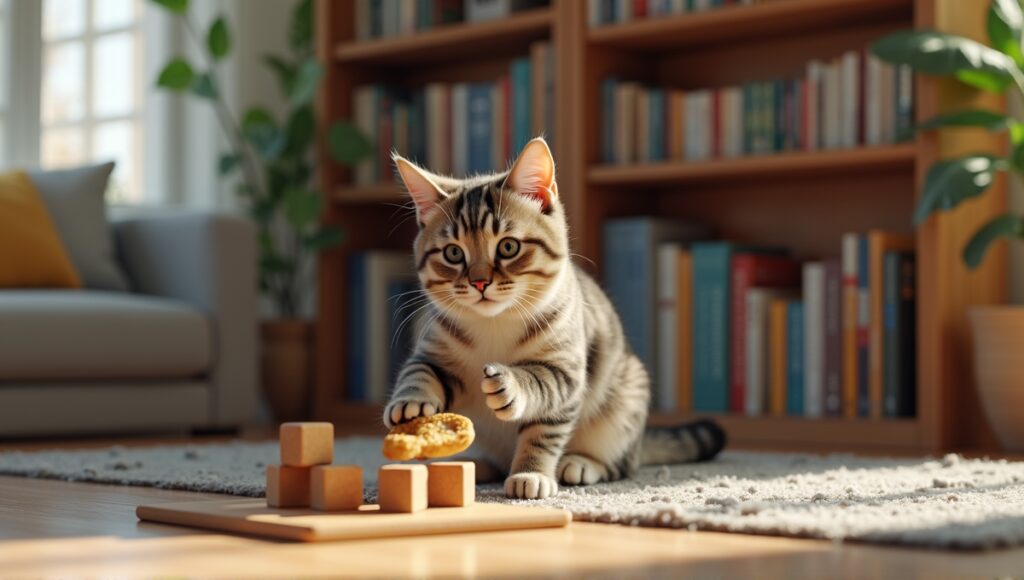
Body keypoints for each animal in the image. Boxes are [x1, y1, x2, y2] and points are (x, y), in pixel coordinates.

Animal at [385, 137, 729, 500]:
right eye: (453, 253)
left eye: (508, 247)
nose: (479, 282)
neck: (495, 323)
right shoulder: (435, 349)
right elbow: (419, 370)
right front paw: (409, 402)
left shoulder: (565, 372)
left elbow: (541, 420)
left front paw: (530, 470)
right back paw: (476, 464)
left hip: (625, 404)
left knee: (622, 465)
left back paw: (581, 464)